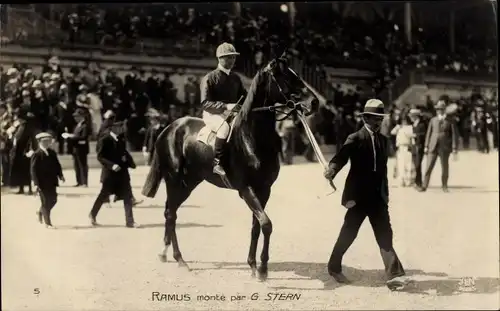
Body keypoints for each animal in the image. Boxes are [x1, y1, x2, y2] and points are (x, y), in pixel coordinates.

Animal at [143, 56, 318, 282]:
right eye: (286, 77)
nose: (314, 102)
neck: (252, 137)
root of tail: (169, 128)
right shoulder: (246, 189)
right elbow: (266, 224)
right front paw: (262, 270)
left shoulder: (264, 189)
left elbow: (257, 226)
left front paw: (254, 266)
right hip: (173, 179)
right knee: (171, 214)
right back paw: (180, 259)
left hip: (188, 183)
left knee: (170, 211)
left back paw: (165, 254)